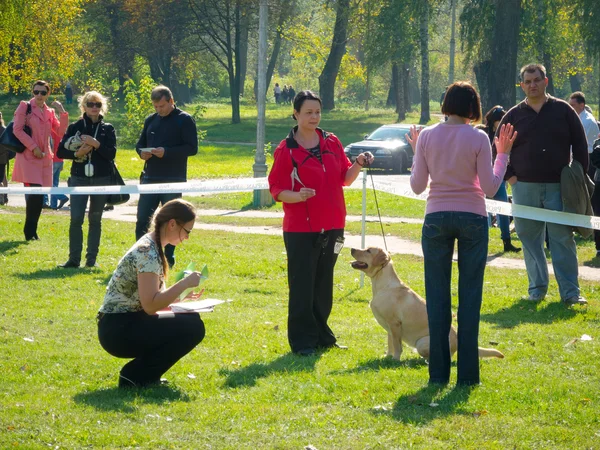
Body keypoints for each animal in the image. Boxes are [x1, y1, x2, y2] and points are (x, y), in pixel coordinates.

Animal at [350, 248, 504, 360]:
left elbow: (397, 345)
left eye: (368, 251)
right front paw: (387, 356)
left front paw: (395, 360)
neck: (382, 284)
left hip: (422, 343)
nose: (351, 248)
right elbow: (390, 343)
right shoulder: (389, 327)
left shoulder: (394, 323)